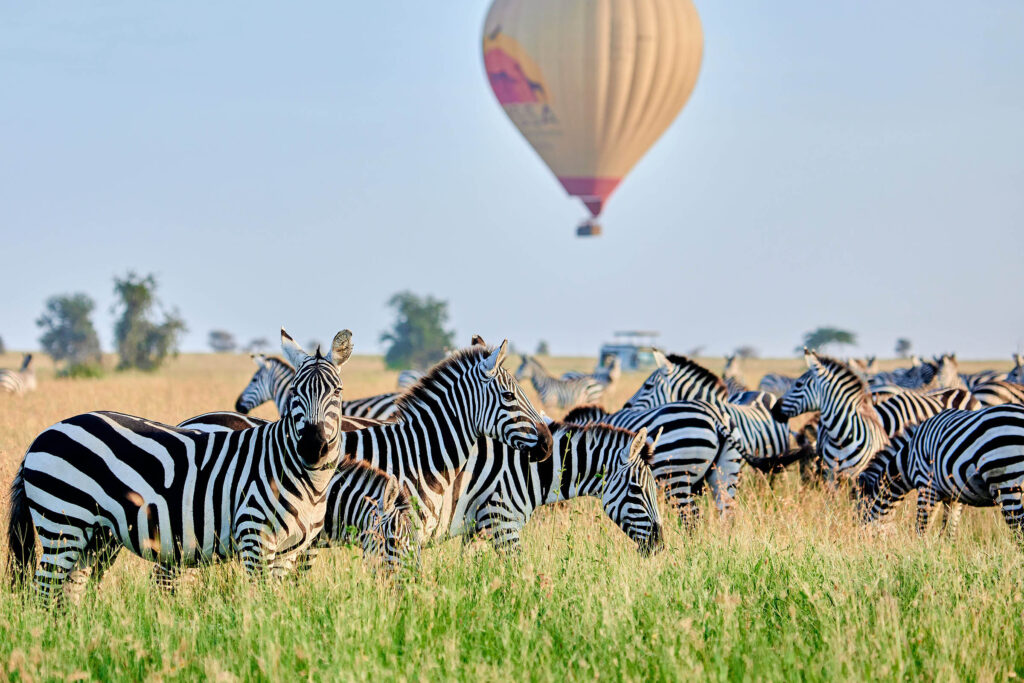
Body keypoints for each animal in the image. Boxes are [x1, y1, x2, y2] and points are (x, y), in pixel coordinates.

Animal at [8, 329, 353, 606]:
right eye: (294, 391)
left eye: (337, 391)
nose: (312, 447)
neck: (304, 478)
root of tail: (42, 435)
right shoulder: (254, 537)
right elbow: (260, 603)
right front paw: (259, 639)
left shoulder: (288, 551)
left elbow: (277, 603)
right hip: (62, 522)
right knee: (43, 592)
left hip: (93, 535)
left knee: (69, 593)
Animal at [858, 405, 1024, 540]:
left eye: (861, 516)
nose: (860, 544)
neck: (907, 459)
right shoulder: (954, 496)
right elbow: (949, 531)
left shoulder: (926, 485)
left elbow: (921, 529)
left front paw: (921, 554)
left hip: (1006, 483)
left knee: (1019, 530)